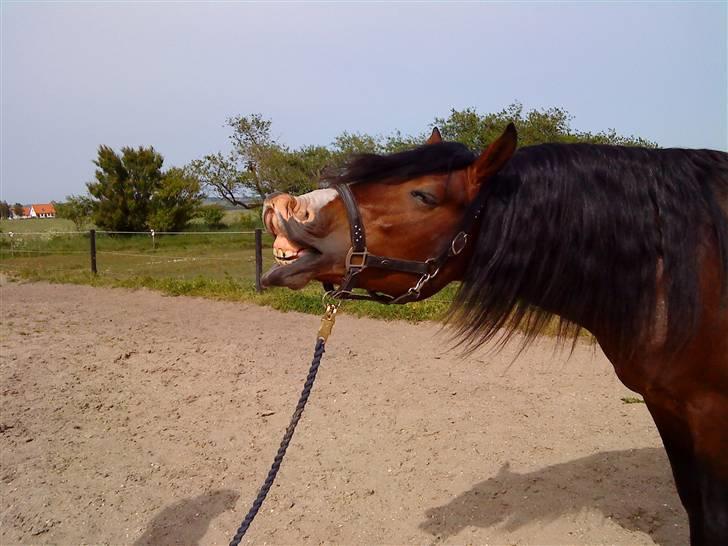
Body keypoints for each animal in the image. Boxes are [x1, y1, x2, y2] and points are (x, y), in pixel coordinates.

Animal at [258, 124, 724, 544]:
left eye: (424, 195)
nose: (285, 207)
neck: (676, 269)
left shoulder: (707, 413)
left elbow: (712, 518)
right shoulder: (665, 404)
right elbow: (691, 503)